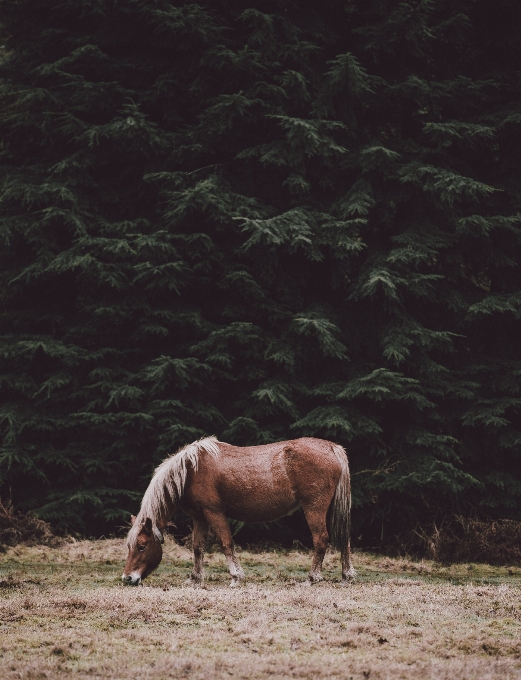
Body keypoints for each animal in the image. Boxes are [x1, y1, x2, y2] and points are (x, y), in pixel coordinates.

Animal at [122, 438, 354, 588]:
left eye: (142, 546)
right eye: (129, 546)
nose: (127, 579)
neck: (190, 470)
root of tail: (332, 447)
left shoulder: (214, 513)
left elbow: (226, 543)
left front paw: (236, 577)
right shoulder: (199, 517)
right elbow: (197, 547)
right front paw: (195, 578)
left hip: (314, 507)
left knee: (321, 539)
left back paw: (311, 578)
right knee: (344, 539)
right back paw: (347, 576)